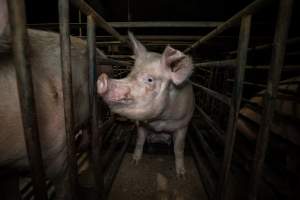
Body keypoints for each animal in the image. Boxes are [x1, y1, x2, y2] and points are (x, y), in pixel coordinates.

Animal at [96, 32, 195, 177]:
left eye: (149, 79)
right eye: (130, 73)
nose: (102, 79)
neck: (160, 122)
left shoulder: (183, 124)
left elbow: (179, 148)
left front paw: (181, 175)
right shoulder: (141, 124)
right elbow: (139, 141)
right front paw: (134, 162)